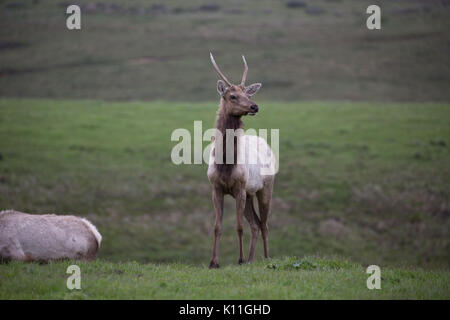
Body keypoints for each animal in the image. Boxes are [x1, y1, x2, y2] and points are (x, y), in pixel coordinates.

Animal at [208, 52, 278, 268]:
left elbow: (239, 227)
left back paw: (265, 258)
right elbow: (217, 226)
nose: (254, 106)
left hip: (265, 188)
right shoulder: (216, 188)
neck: (225, 164)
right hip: (249, 194)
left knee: (264, 224)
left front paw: (238, 259)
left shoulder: (239, 187)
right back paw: (251, 259)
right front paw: (213, 262)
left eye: (249, 95)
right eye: (232, 96)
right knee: (255, 224)